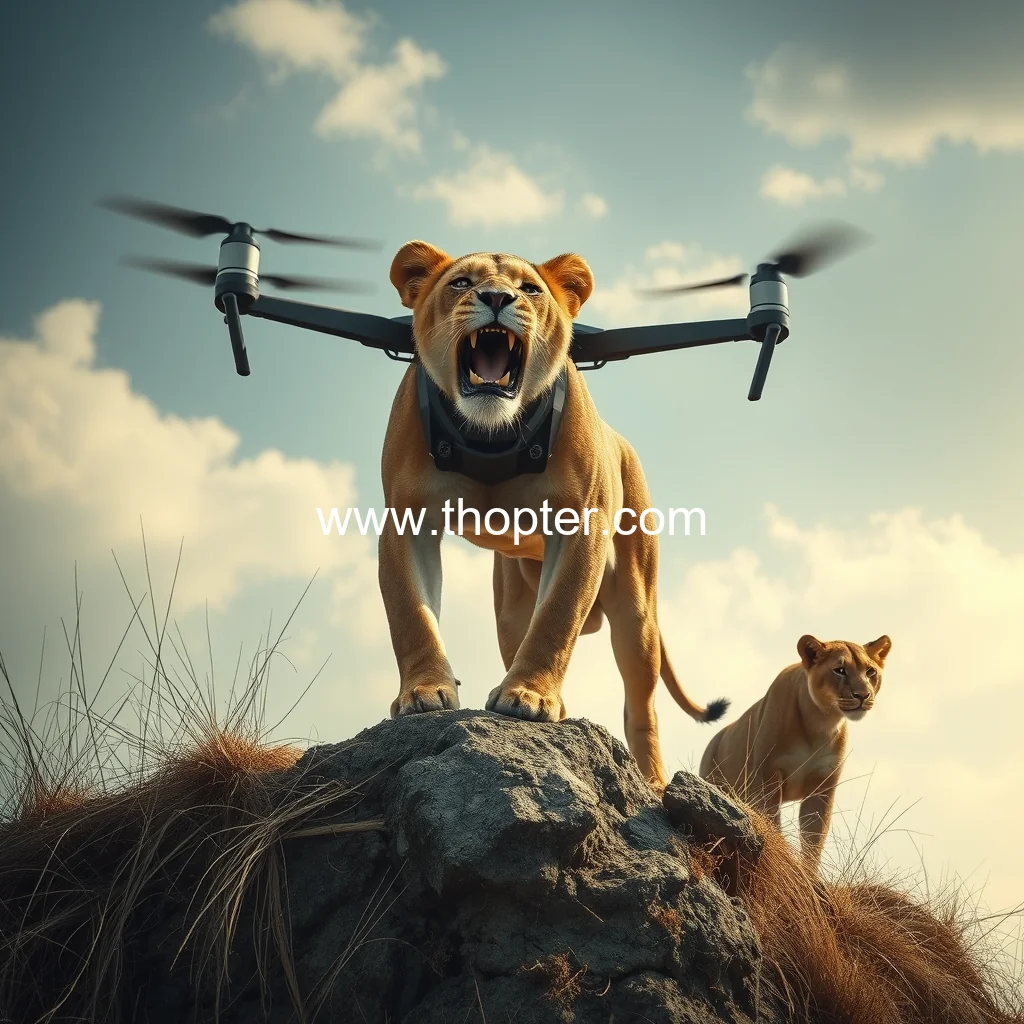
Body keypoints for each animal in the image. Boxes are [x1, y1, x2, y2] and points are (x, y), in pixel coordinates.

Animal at [377, 241, 728, 790]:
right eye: (461, 283)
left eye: (529, 289)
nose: (497, 297)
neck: (490, 435)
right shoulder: (405, 521)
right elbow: (411, 614)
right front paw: (424, 692)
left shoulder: (581, 524)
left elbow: (558, 617)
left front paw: (530, 698)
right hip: (508, 611)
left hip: (637, 612)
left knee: (642, 706)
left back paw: (651, 780)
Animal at [699, 633, 891, 866]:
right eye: (840, 670)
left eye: (870, 672)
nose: (863, 695)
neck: (820, 722)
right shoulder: (767, 777)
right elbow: (773, 824)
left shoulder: (822, 786)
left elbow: (813, 841)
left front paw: (807, 873)